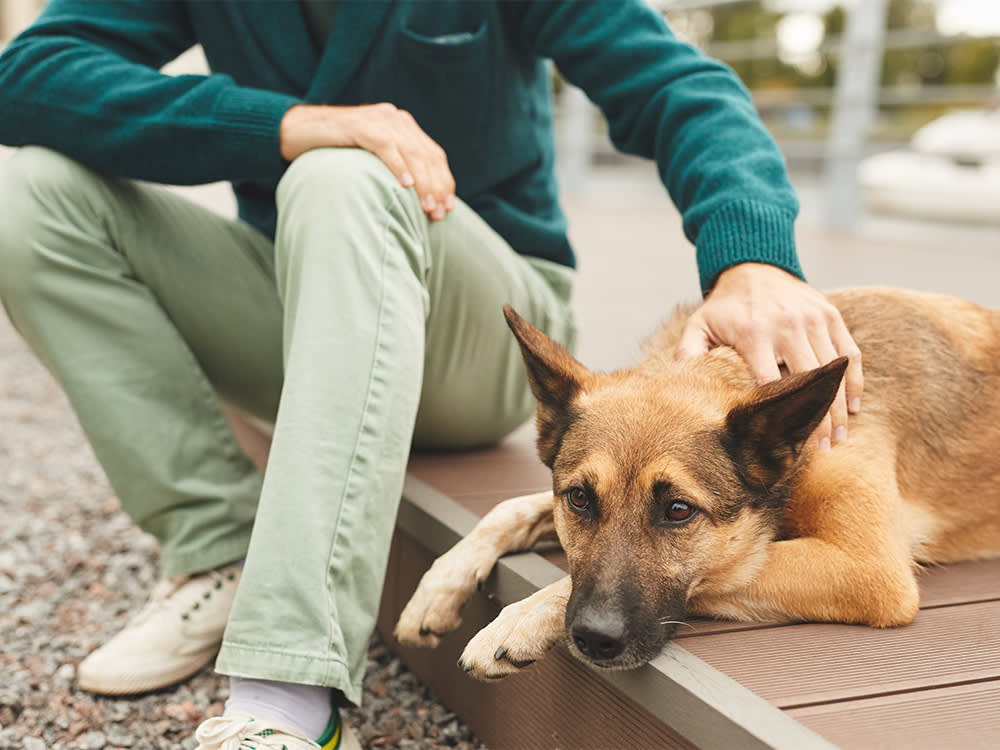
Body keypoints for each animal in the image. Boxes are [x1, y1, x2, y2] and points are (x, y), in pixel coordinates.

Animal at [394, 288, 1000, 680]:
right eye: (580, 500)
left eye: (679, 511)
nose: (593, 639)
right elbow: (508, 508)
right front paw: (439, 585)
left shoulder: (868, 568)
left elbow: (722, 567)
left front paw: (517, 620)